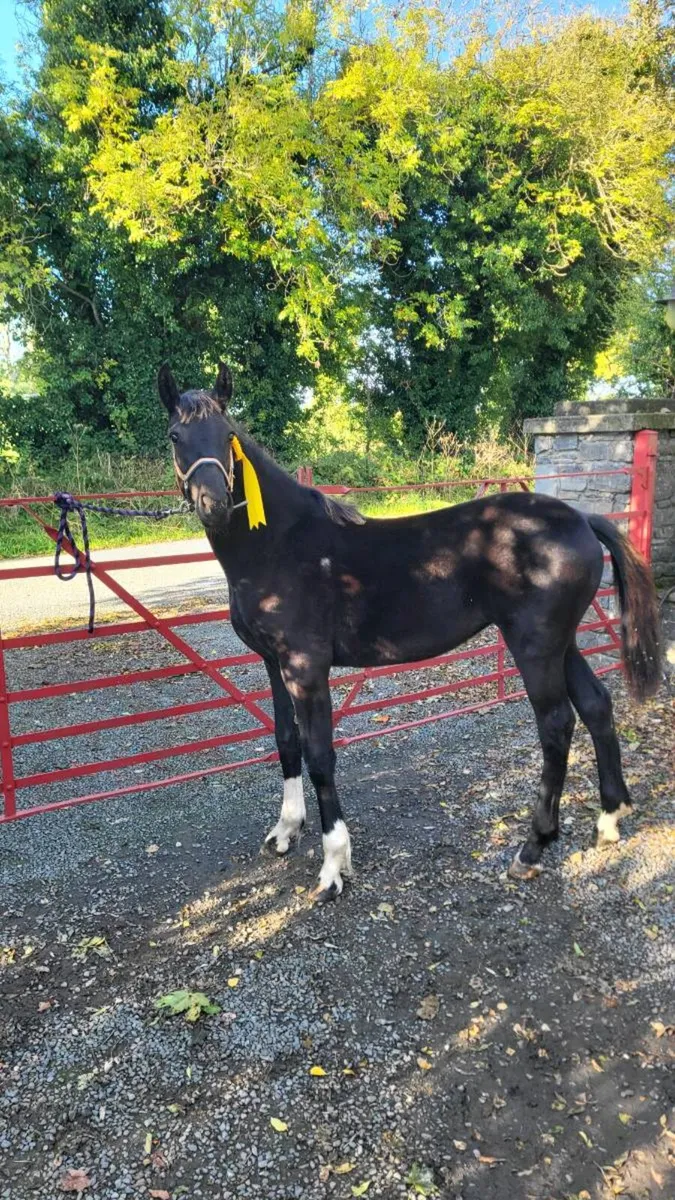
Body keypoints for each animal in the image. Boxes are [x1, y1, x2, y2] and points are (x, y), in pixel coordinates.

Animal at [157, 361, 660, 901]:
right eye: (175, 435)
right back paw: (609, 820)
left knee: (556, 724)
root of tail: (582, 518)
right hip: (560, 643)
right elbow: (286, 740)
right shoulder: (274, 663)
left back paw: (531, 849)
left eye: (227, 435)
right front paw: (287, 831)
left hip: (535, 646)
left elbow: (320, 755)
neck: (280, 545)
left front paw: (334, 866)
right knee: (595, 704)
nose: (214, 503)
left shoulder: (306, 669)